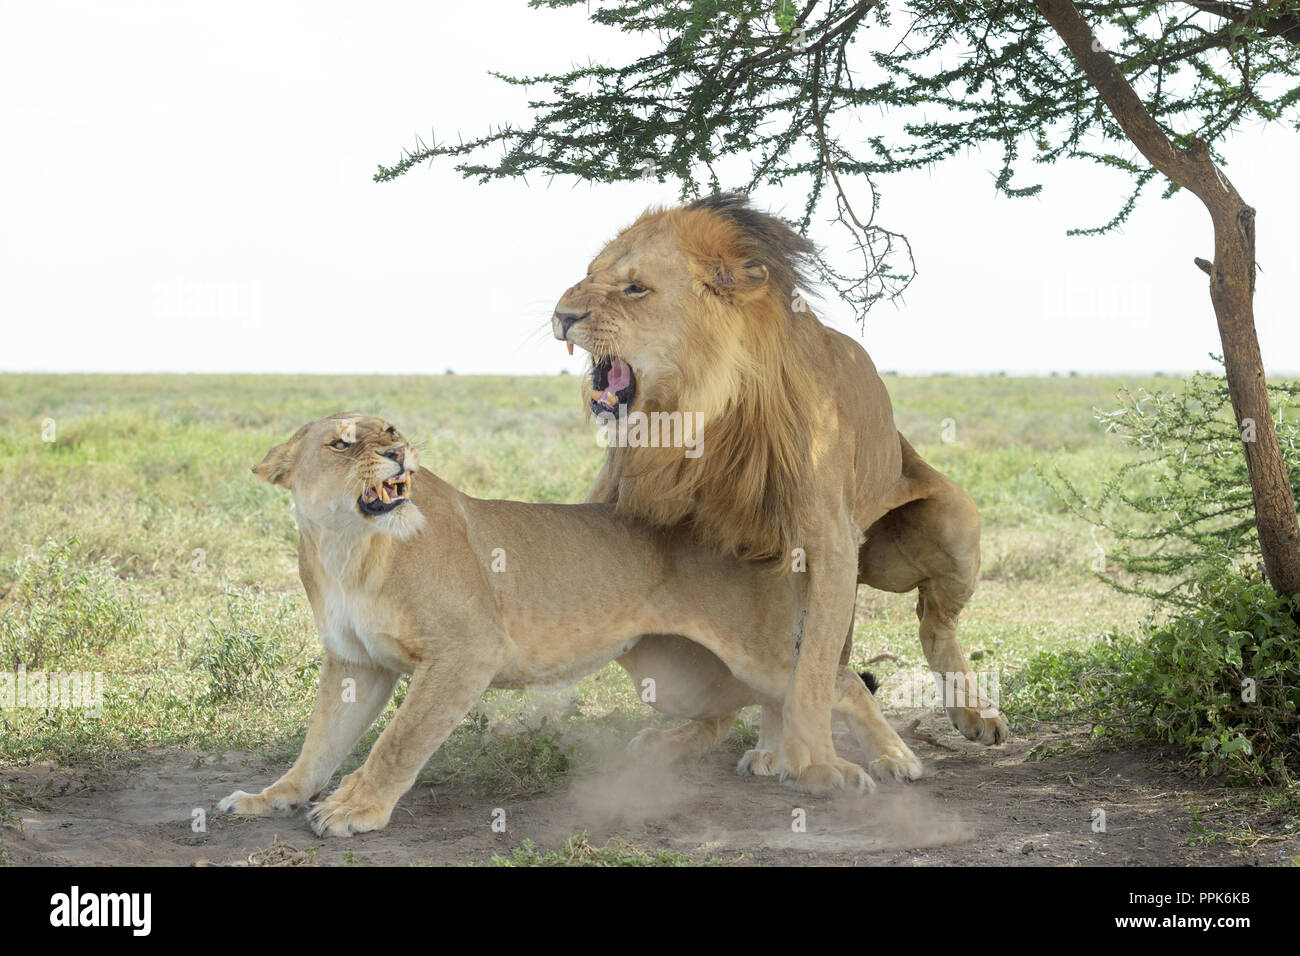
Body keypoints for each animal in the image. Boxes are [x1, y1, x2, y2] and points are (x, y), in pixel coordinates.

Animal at [217, 414, 922, 836]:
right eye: (341, 442)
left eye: (391, 429)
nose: (398, 452)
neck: (348, 549)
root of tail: (751, 528)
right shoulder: (355, 665)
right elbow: (318, 745)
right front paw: (272, 797)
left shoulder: (467, 652)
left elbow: (398, 741)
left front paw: (354, 809)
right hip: (673, 670)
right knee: (742, 705)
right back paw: (758, 755)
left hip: (751, 647)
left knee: (829, 682)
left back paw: (879, 762)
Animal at [552, 193, 1008, 789]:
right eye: (588, 274)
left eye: (634, 288)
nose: (561, 315)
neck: (699, 411)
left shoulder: (829, 540)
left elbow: (812, 668)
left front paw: (815, 761)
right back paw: (721, 746)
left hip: (952, 519)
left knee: (931, 624)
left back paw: (959, 721)